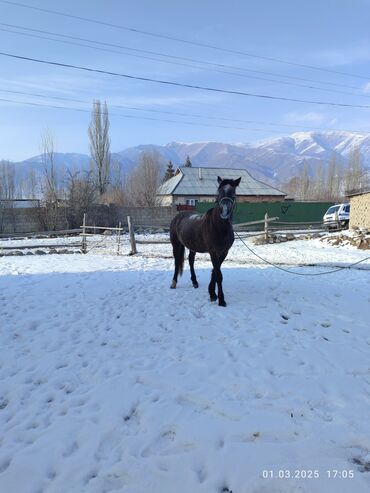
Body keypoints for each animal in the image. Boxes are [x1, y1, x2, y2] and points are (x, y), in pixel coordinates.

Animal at [169, 177, 241, 306]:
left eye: (233, 193)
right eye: (219, 192)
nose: (224, 213)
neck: (219, 227)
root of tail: (178, 216)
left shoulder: (223, 252)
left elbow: (215, 272)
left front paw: (212, 293)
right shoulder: (213, 252)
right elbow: (218, 274)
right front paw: (221, 299)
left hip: (192, 246)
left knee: (191, 261)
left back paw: (195, 282)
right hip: (176, 245)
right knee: (177, 262)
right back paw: (173, 283)